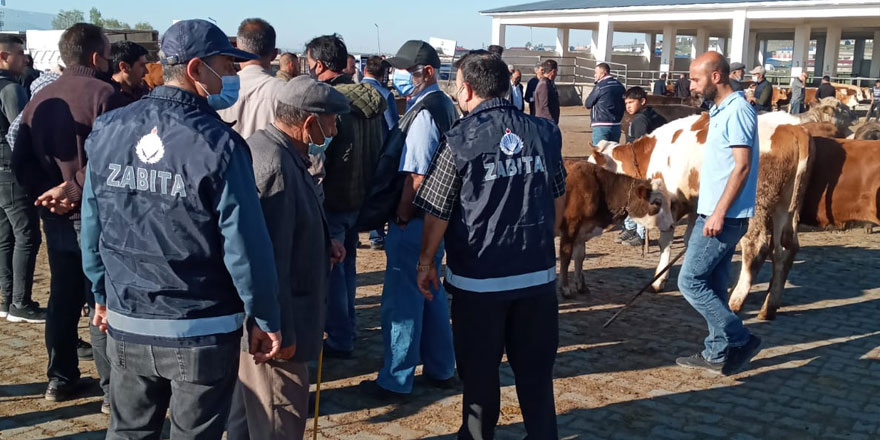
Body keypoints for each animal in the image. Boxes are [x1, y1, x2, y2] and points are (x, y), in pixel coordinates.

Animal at [556, 160, 672, 298]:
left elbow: (580, 256)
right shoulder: (570, 226)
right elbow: (566, 256)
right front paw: (565, 288)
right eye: (657, 202)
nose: (671, 224)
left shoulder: (582, 231)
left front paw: (581, 286)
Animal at [588, 111, 816, 320]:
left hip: (757, 206)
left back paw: (735, 300)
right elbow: (690, 240)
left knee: (756, 247)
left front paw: (659, 280)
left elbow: (665, 241)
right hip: (786, 207)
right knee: (784, 250)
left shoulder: (670, 203)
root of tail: (792, 128)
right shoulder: (696, 205)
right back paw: (769, 306)